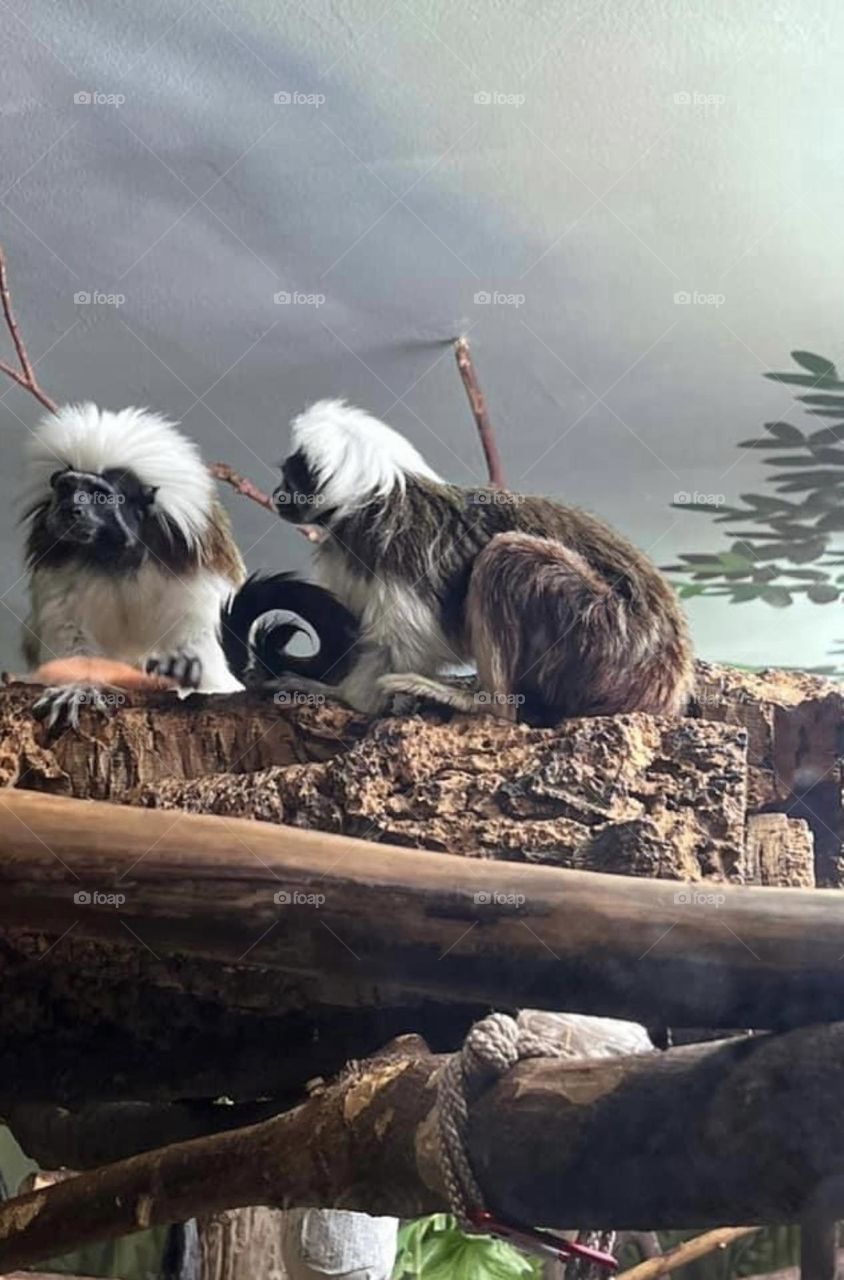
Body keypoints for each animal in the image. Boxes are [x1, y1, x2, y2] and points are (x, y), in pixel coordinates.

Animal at [22, 402, 246, 729]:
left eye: (99, 495)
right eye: (68, 489)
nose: (71, 509)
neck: (116, 554)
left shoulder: (189, 562)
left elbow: (197, 636)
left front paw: (183, 672)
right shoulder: (56, 557)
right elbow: (67, 626)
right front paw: (78, 687)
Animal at [233, 399, 693, 726]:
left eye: (290, 479)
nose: (277, 496)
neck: (374, 499)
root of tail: (669, 675)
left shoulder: (397, 548)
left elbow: (406, 638)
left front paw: (343, 696)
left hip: (606, 635)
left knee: (507, 557)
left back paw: (485, 703)